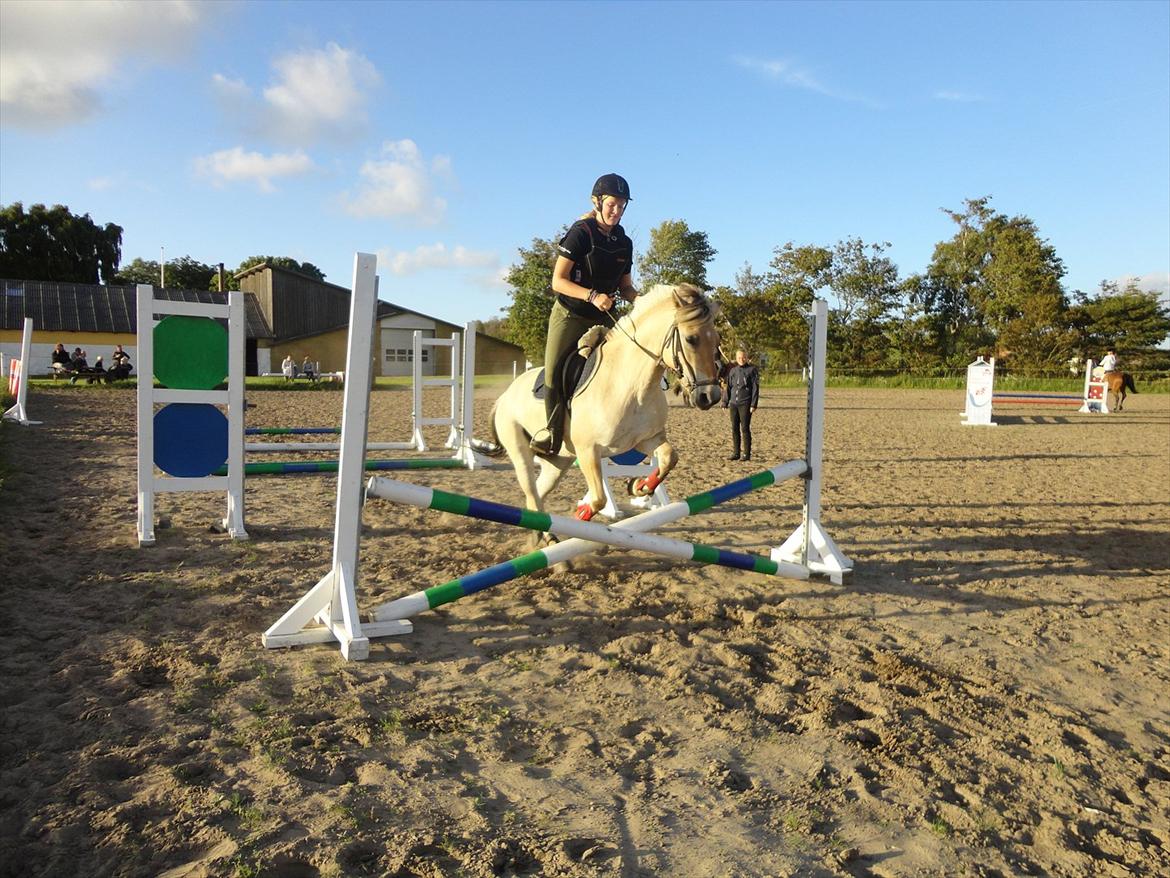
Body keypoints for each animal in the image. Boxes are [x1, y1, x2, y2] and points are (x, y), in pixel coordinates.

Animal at [484, 283, 720, 529]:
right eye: (691, 339)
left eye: (717, 340)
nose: (710, 396)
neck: (632, 384)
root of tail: (505, 395)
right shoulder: (588, 450)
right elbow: (598, 498)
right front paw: (582, 515)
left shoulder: (646, 439)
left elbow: (668, 458)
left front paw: (641, 486)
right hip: (521, 451)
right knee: (531, 490)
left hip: (558, 461)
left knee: (537, 495)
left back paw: (545, 535)